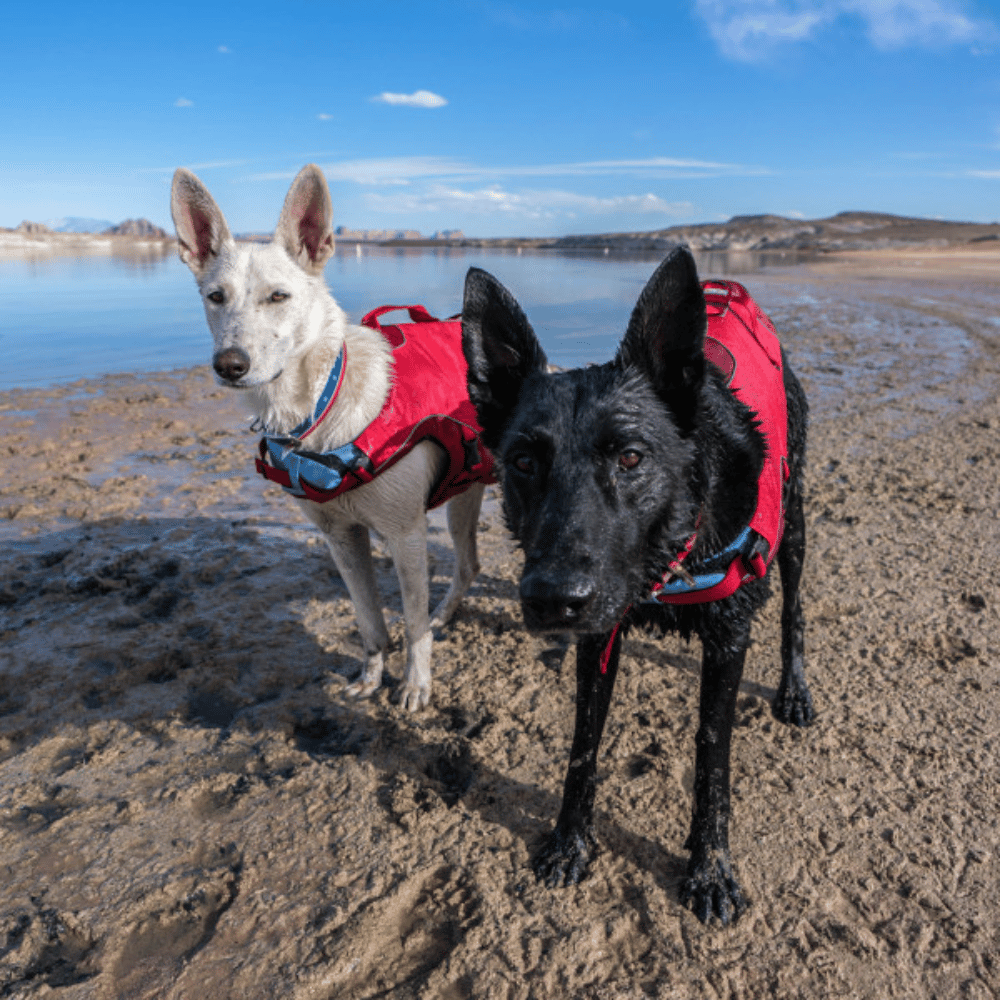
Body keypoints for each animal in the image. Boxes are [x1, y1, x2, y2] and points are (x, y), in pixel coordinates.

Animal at [171, 164, 488, 708]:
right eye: (215, 297)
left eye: (279, 296)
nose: (230, 365)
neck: (320, 408)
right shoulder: (341, 537)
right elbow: (369, 620)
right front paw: (371, 675)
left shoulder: (406, 535)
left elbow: (411, 622)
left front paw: (416, 683)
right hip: (463, 491)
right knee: (468, 565)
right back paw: (446, 615)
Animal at [460, 246, 812, 924]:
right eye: (522, 462)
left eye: (629, 457)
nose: (552, 598)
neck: (668, 557)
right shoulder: (600, 634)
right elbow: (583, 743)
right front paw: (570, 841)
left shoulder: (729, 637)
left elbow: (711, 755)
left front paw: (710, 869)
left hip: (795, 520)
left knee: (794, 610)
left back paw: (795, 689)